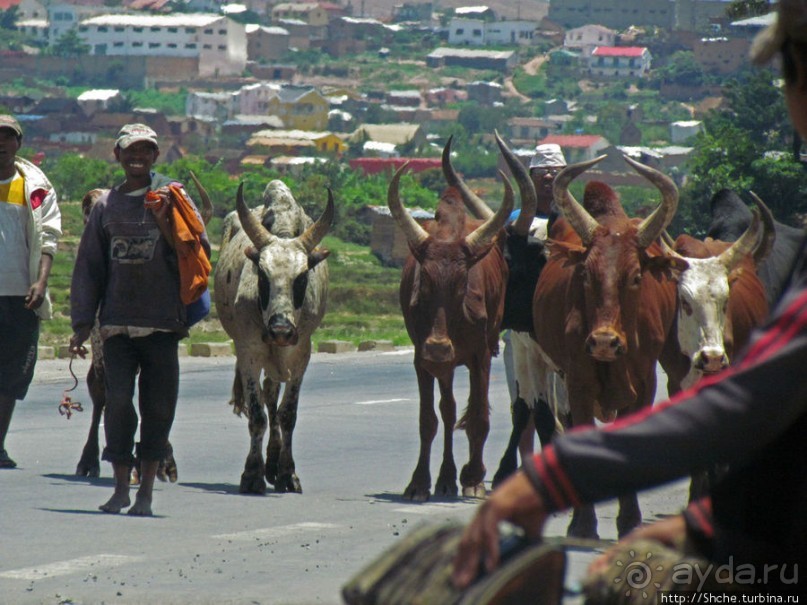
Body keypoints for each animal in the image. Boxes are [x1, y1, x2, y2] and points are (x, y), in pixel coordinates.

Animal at [215, 178, 332, 490]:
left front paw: (287, 473)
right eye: (262, 275)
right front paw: (252, 474)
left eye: (302, 278)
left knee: (272, 397)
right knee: (267, 400)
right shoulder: (249, 353)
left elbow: (287, 414)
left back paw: (275, 464)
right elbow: (257, 415)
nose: (280, 330)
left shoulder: (300, 355)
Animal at [390, 157, 516, 500]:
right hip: (442, 365)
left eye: (462, 284)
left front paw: (473, 478)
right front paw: (419, 483)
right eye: (424, 281)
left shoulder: (481, 356)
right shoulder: (422, 360)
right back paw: (445, 477)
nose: (438, 346)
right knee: (447, 410)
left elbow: (478, 418)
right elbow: (429, 420)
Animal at [536, 153, 680, 536]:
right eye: (585, 274)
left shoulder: (645, 382)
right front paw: (583, 523)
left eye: (636, 276)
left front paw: (629, 518)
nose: (604, 342)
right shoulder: (577, 382)